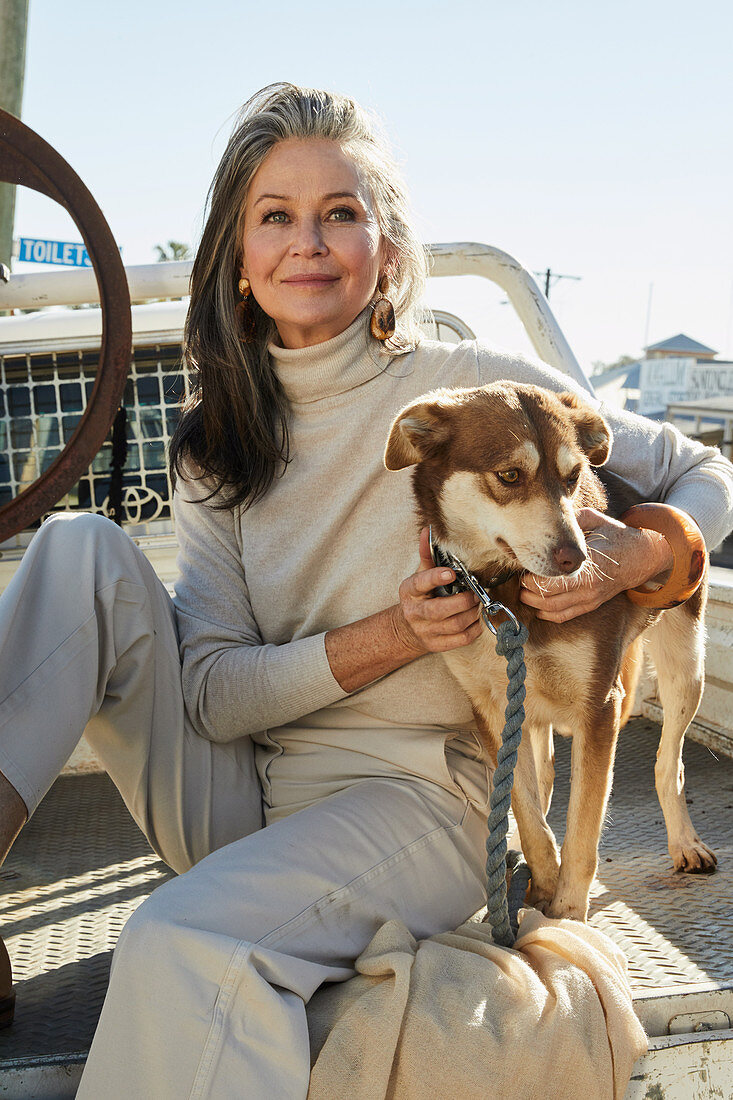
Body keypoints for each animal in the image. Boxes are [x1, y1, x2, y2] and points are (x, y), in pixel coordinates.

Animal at [385, 382, 708, 924]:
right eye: (510, 475)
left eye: (574, 476)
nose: (578, 558)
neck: (501, 590)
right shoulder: (493, 709)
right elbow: (527, 810)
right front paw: (541, 885)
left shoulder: (599, 707)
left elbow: (584, 831)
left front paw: (568, 917)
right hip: (536, 707)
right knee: (547, 773)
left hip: (685, 669)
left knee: (671, 764)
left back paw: (685, 843)